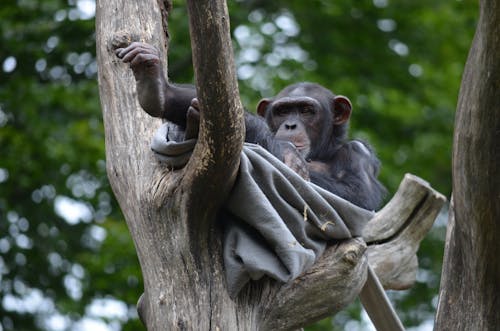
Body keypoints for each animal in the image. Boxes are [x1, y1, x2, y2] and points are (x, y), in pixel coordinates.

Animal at [117, 42, 386, 211]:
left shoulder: (359, 154)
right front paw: (161, 91)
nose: (290, 125)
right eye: (283, 111)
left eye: (306, 111)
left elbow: (355, 193)